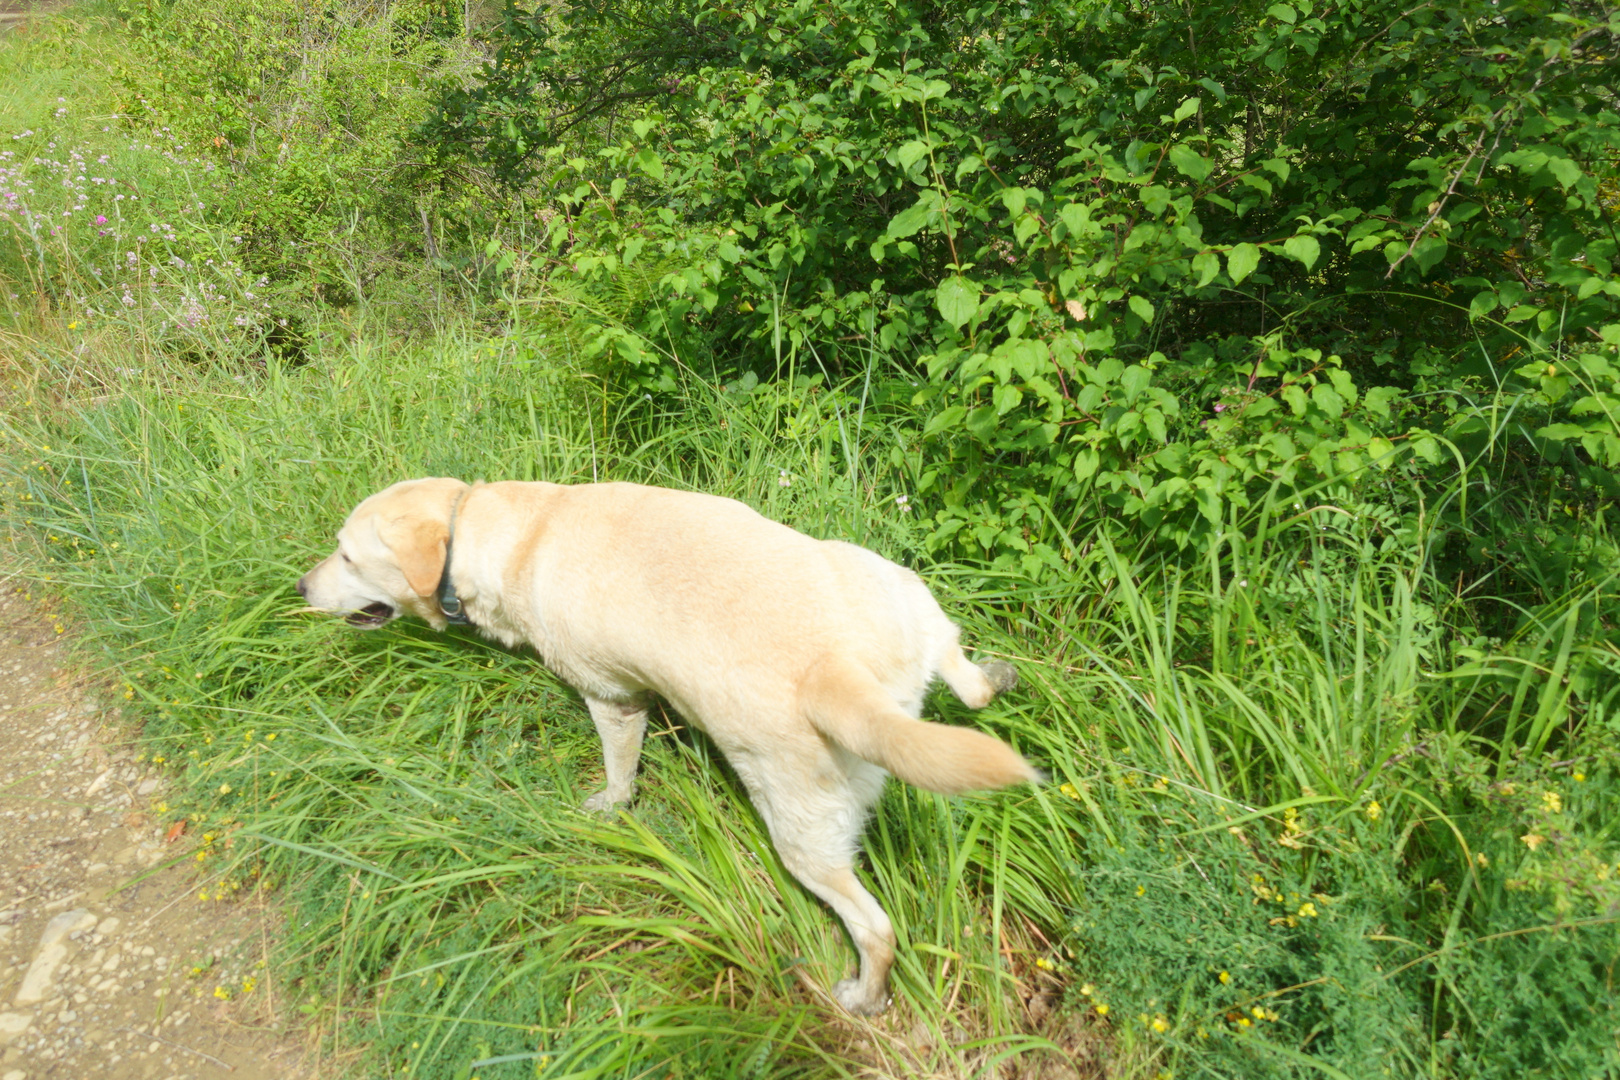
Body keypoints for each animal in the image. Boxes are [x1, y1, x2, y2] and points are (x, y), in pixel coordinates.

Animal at [299, 476, 1036, 1016]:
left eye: (346, 555)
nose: (301, 588)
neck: (512, 532)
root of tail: (836, 670)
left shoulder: (612, 697)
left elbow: (619, 769)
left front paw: (607, 806)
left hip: (800, 832)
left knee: (876, 930)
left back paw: (862, 996)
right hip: (906, 595)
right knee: (970, 688)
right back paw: (995, 677)